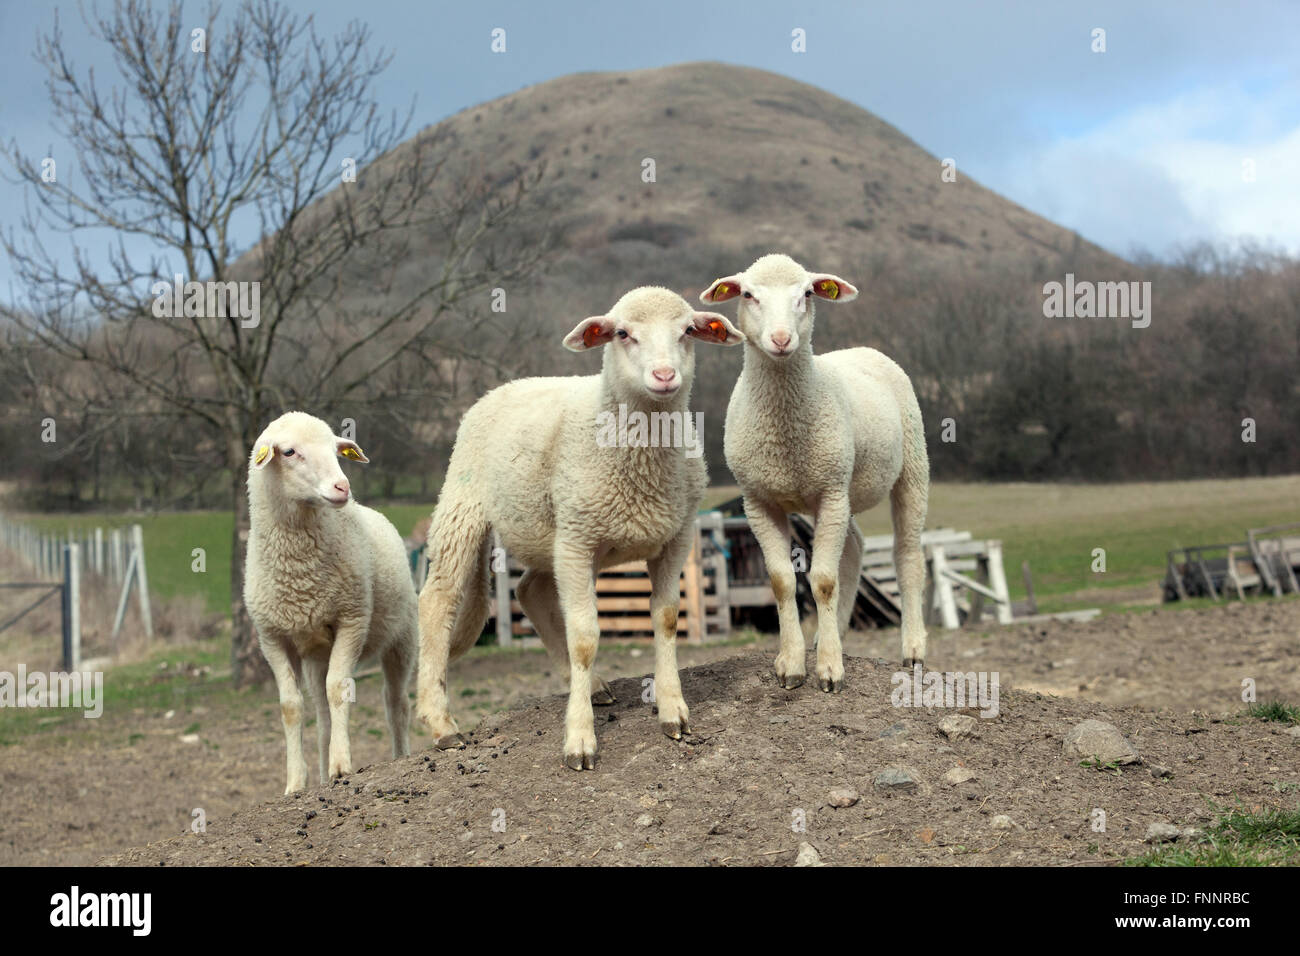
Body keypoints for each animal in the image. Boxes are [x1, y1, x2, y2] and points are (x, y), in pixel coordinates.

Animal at [244, 411, 416, 790]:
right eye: (289, 452)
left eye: (336, 451)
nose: (342, 488)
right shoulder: (272, 637)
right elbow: (290, 706)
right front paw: (295, 782)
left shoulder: (352, 619)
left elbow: (339, 688)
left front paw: (341, 765)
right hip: (315, 654)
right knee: (322, 715)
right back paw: (322, 773)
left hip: (403, 636)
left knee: (395, 702)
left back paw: (400, 755)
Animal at [416, 283, 743, 770]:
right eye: (622, 333)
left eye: (687, 331)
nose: (665, 375)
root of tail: (511, 384)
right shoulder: (577, 540)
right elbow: (585, 638)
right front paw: (580, 739)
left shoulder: (676, 535)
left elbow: (666, 619)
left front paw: (672, 712)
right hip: (466, 506)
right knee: (437, 600)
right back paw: (442, 725)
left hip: (547, 534)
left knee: (529, 590)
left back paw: (591, 686)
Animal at [707, 254, 930, 686]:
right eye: (748, 295)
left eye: (807, 294)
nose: (780, 340)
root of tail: (862, 349)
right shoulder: (758, 501)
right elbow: (781, 582)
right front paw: (792, 663)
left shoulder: (830, 490)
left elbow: (823, 581)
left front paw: (829, 669)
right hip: (836, 492)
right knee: (856, 546)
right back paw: (835, 634)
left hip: (909, 467)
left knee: (908, 555)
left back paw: (913, 649)